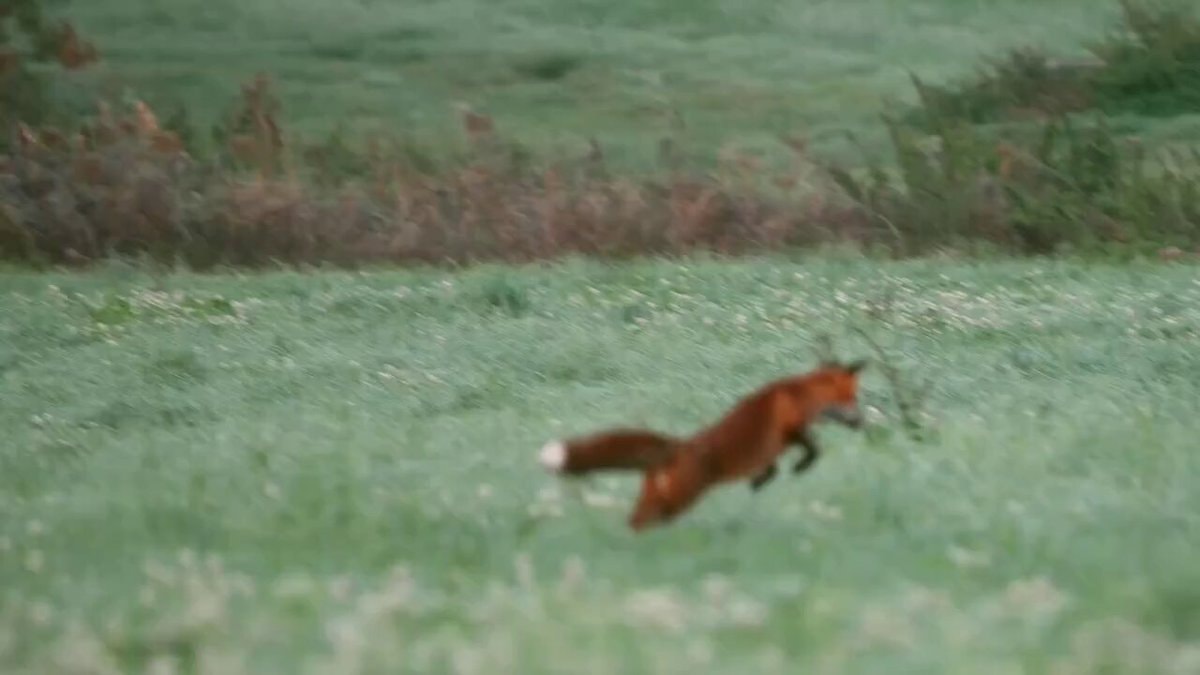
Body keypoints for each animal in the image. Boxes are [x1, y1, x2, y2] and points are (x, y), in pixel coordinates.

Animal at [537, 359, 868, 531]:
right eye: (850, 399)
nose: (862, 422)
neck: (800, 393)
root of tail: (681, 446)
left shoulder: (776, 446)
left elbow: (772, 467)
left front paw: (761, 481)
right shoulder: (790, 431)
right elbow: (812, 449)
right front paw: (799, 466)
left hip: (660, 497)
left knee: (636, 519)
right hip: (682, 497)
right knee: (648, 520)